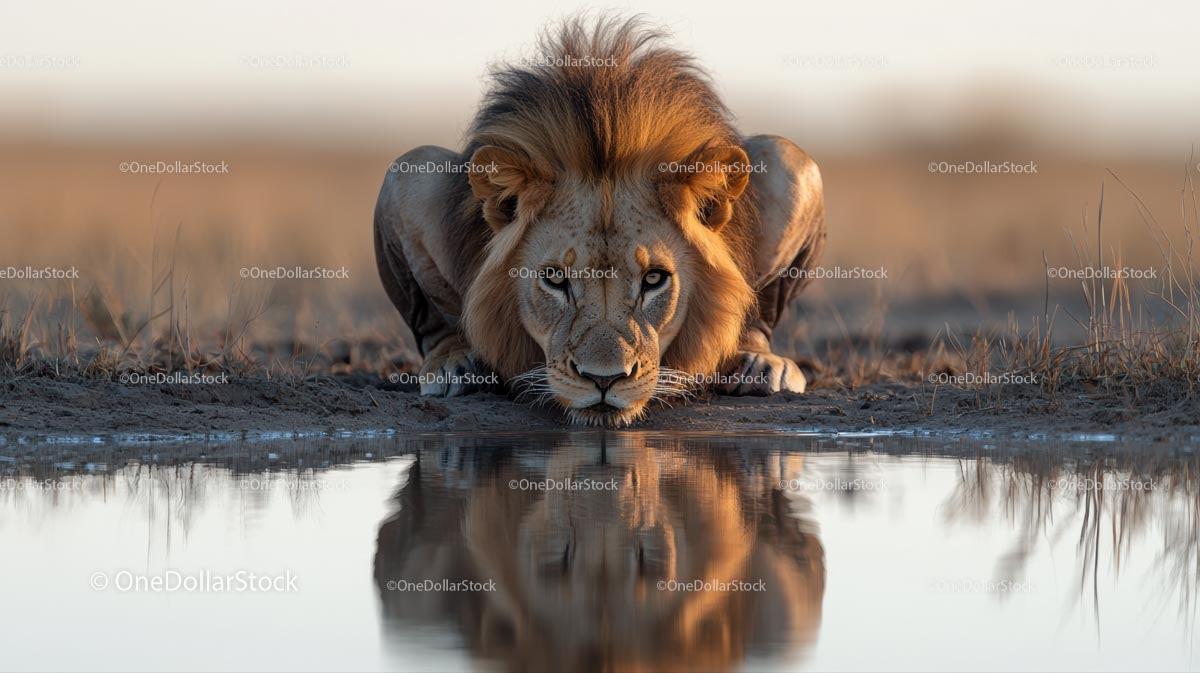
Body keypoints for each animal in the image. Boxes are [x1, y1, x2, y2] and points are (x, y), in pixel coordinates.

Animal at [374, 17, 826, 426]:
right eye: (555, 279)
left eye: (654, 279)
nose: (604, 380)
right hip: (411, 169)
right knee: (435, 322)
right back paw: (456, 366)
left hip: (789, 159)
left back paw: (759, 365)